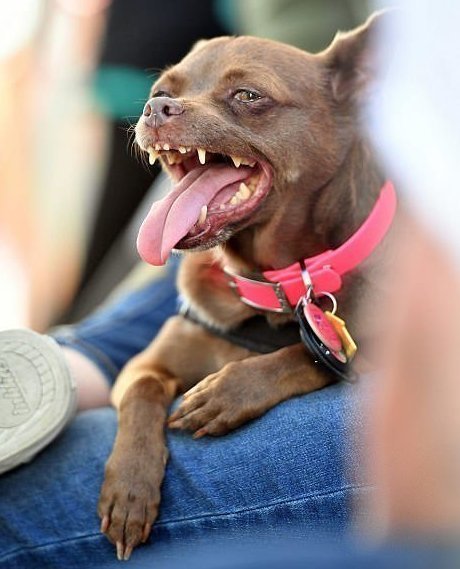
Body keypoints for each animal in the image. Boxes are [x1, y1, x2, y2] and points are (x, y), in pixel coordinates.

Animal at [98, 13, 398, 560]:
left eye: (248, 95)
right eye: (160, 91)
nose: (155, 108)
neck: (270, 286)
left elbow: (302, 355)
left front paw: (227, 390)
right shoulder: (141, 366)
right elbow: (145, 391)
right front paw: (128, 491)